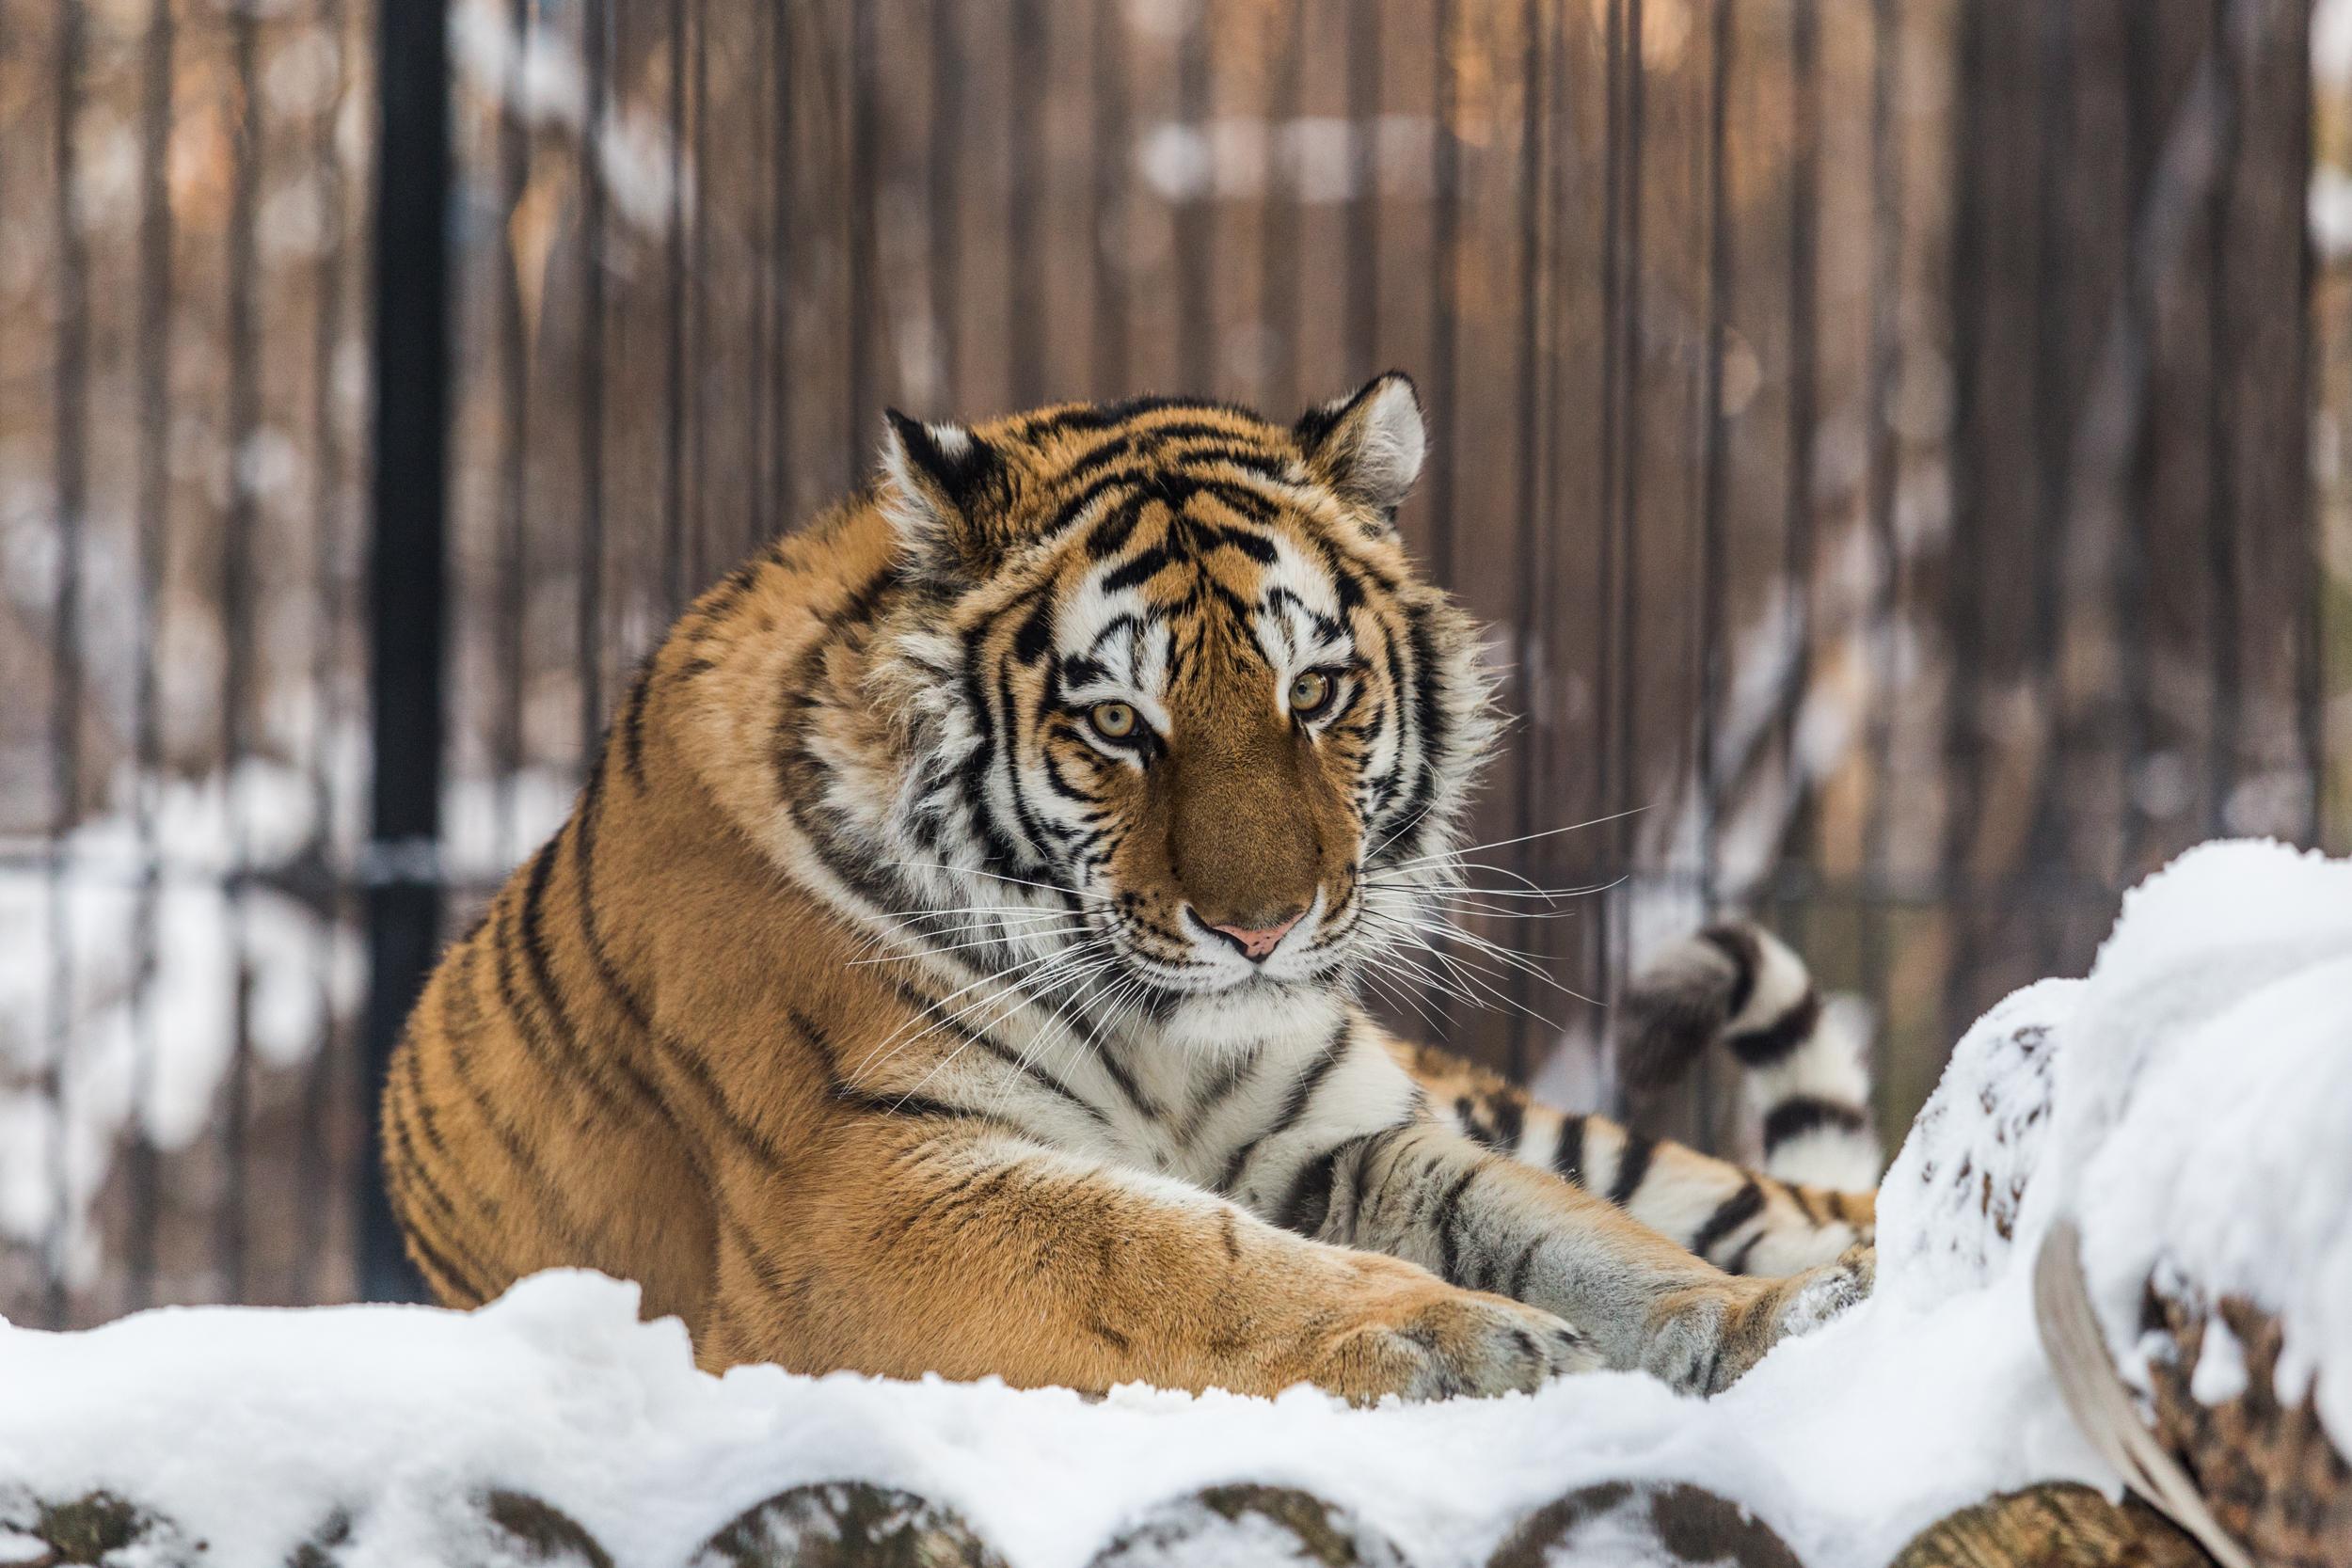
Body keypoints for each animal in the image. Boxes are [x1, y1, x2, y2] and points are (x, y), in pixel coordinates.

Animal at [395, 373, 1882, 1401]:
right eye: (1117, 722)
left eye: (1315, 693)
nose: (1264, 928)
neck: (1169, 1042)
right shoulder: (865, 1190)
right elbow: (1173, 1258)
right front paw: (1455, 1336)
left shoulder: (1346, 1139)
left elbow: (1573, 1232)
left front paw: (1769, 1320)